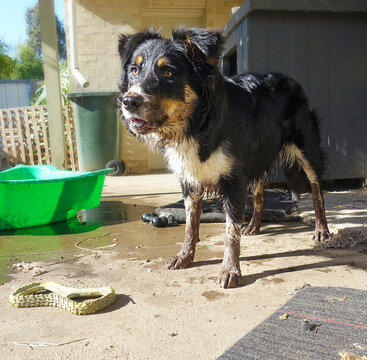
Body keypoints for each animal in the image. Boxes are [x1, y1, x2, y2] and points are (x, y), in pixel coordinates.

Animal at [118, 26, 330, 288]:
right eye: (134, 70)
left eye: (168, 72)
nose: (128, 101)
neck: (196, 123)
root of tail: (289, 79)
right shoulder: (190, 179)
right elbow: (190, 225)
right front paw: (184, 257)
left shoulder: (234, 180)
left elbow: (230, 231)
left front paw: (230, 271)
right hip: (255, 157)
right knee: (259, 193)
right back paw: (254, 225)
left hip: (307, 150)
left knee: (317, 190)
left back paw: (321, 230)